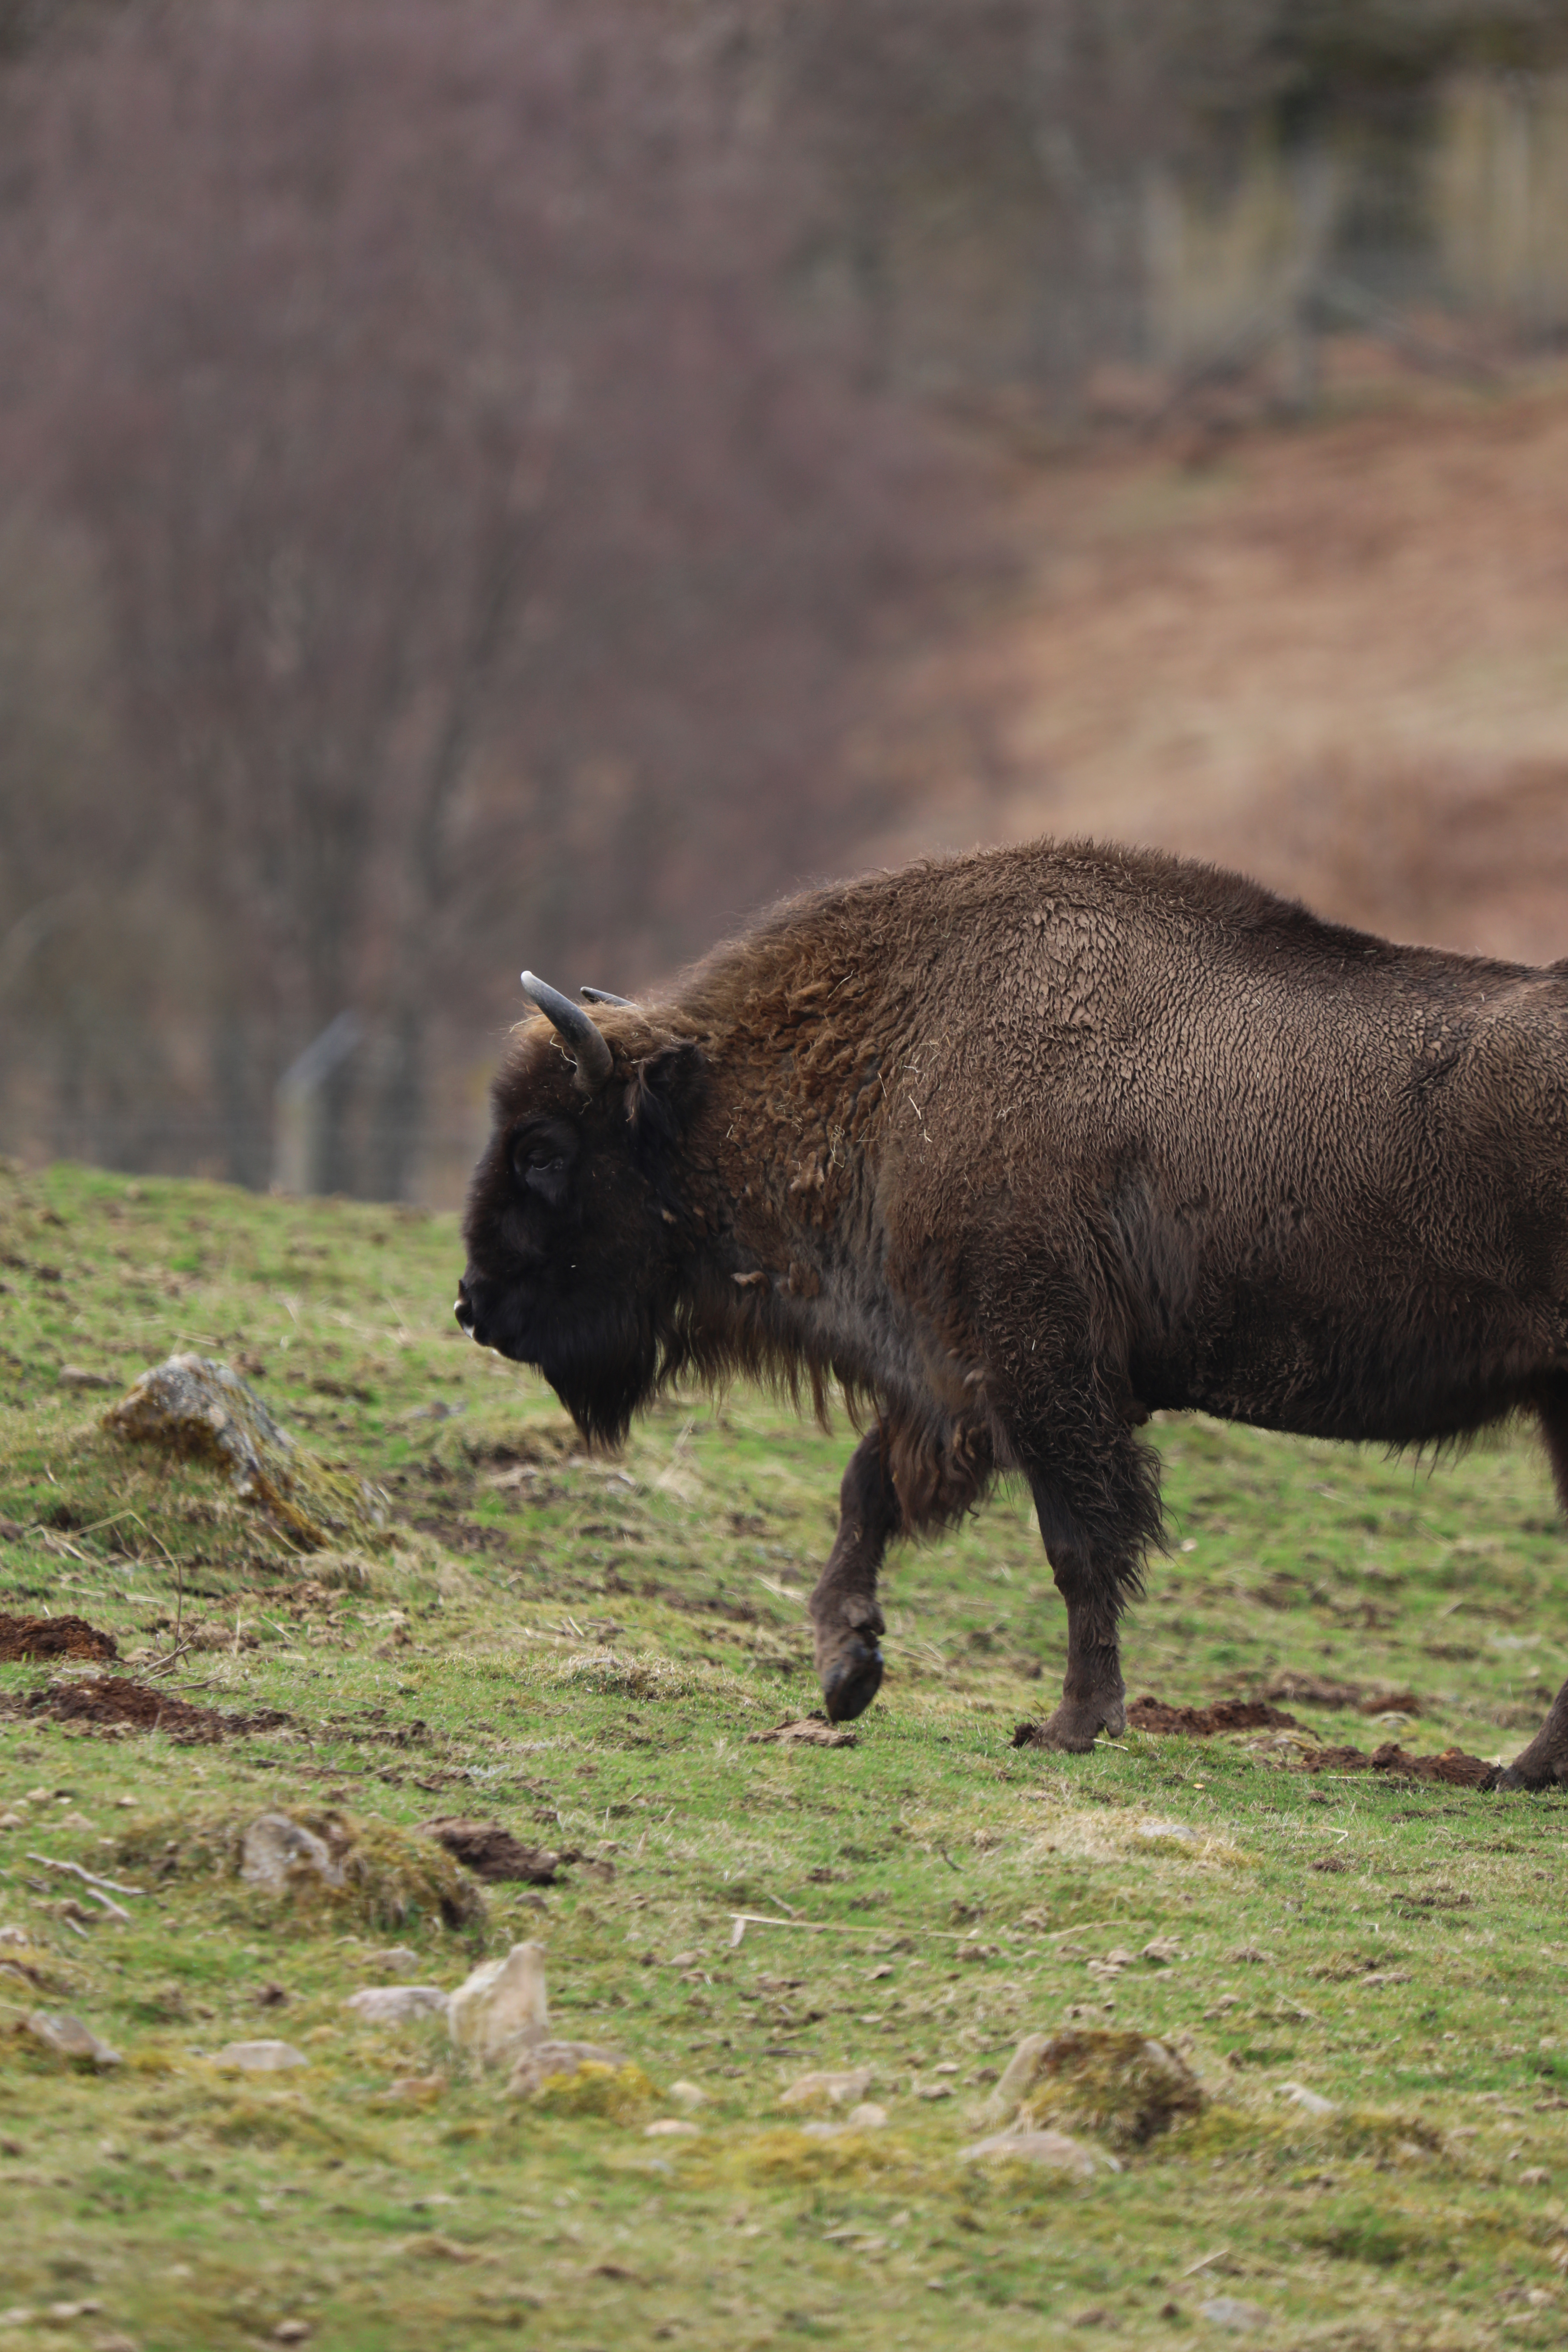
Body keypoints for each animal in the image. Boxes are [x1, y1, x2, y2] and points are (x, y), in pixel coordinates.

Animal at [457, 839, 1568, 1788]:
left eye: (545, 1149)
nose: (473, 1306)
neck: (902, 1056)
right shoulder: (959, 1378)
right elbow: (869, 1492)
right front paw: (846, 1671)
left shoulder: (1041, 1368)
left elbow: (1079, 1549)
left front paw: (1072, 1726)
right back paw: (1524, 1770)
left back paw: (1522, 1769)